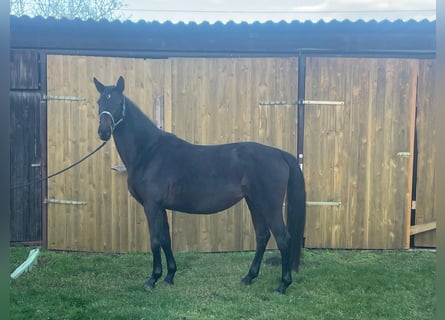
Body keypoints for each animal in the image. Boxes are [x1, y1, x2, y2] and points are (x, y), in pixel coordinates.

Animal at [93, 76, 306, 294]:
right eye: (99, 102)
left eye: (118, 102)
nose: (103, 131)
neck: (148, 151)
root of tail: (279, 153)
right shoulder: (161, 207)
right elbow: (165, 239)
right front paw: (169, 276)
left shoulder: (152, 206)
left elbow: (154, 241)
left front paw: (152, 279)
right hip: (254, 202)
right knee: (262, 236)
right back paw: (249, 277)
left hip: (269, 206)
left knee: (282, 238)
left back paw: (282, 284)